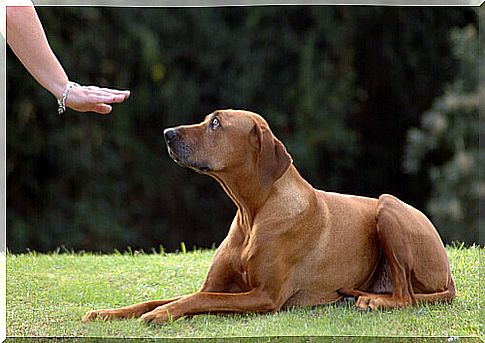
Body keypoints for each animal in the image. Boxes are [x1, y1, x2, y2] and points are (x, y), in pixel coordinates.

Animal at [81, 110, 456, 326]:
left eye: (215, 123)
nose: (167, 133)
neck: (253, 213)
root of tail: (449, 275)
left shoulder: (265, 296)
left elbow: (200, 299)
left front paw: (161, 315)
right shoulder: (217, 284)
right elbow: (163, 297)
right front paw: (107, 313)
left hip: (387, 206)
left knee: (406, 297)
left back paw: (373, 301)